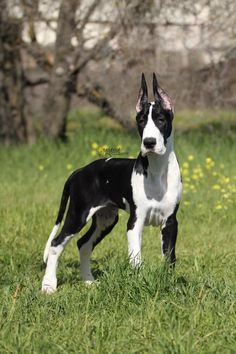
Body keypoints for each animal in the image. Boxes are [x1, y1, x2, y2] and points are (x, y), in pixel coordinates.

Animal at [42, 74, 183, 294]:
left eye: (161, 120)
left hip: (106, 219)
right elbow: (136, 259)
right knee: (56, 244)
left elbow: (169, 258)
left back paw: (88, 281)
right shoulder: (135, 222)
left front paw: (168, 286)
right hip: (77, 215)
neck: (158, 170)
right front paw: (139, 285)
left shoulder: (170, 223)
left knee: (83, 244)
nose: (149, 142)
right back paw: (49, 285)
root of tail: (80, 171)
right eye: (141, 121)